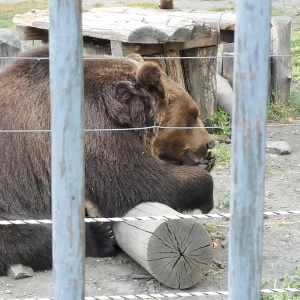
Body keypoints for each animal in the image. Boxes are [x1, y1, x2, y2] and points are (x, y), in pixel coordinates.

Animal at [0, 45, 216, 276]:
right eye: (193, 114)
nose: (209, 143)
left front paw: (207, 163)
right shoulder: (94, 131)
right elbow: (140, 182)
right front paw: (205, 194)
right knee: (25, 235)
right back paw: (100, 237)